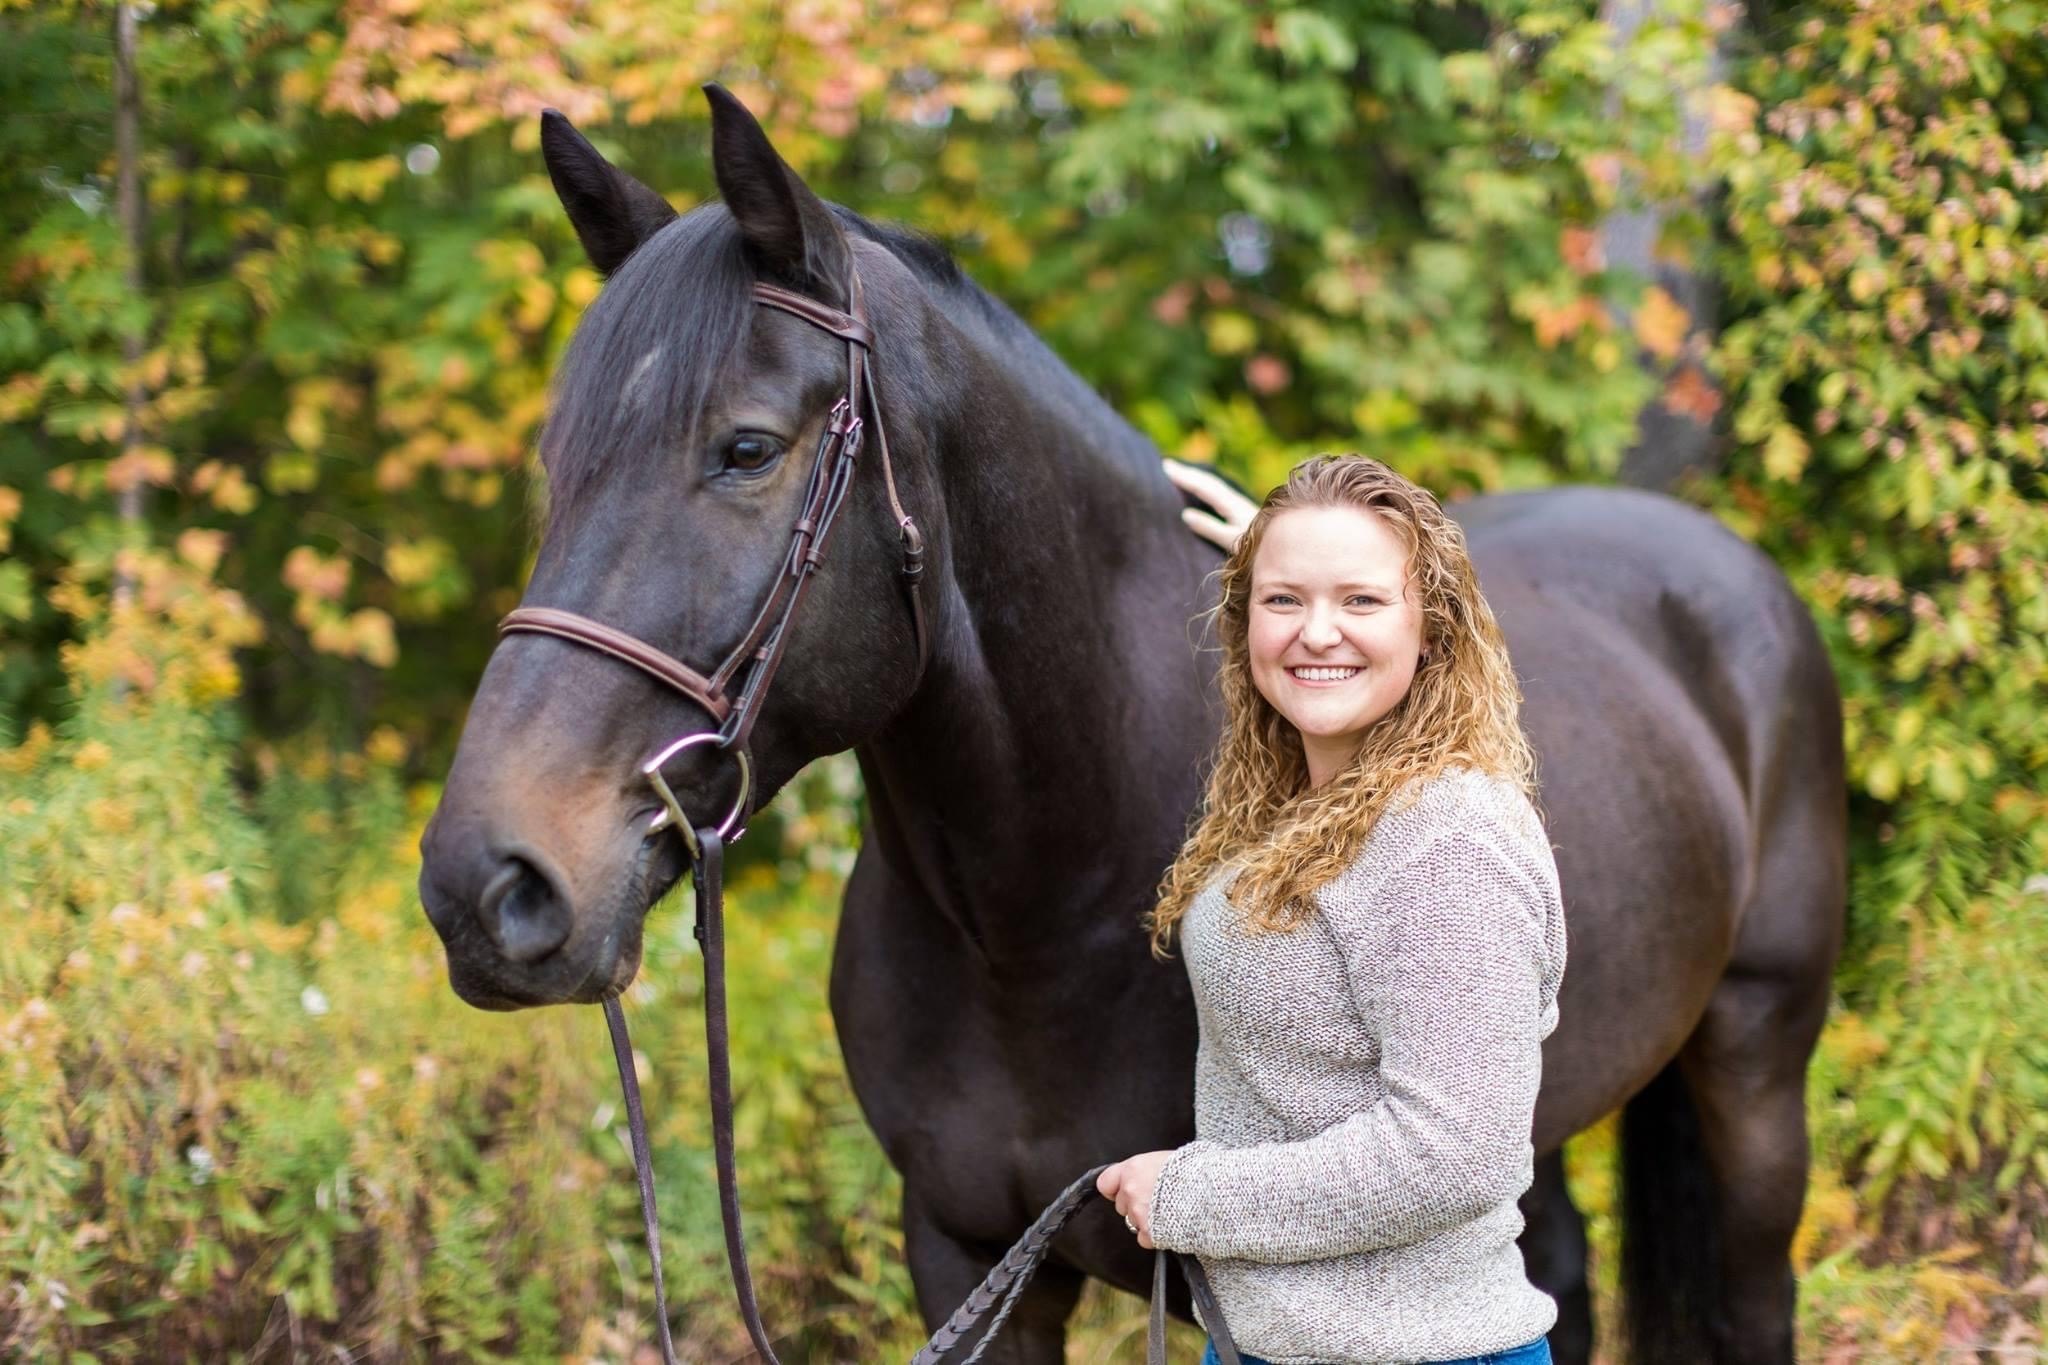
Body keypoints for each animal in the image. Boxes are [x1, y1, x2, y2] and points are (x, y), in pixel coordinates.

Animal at [411, 90, 1843, 1358]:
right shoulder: (968, 1259)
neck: (1047, 904)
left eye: (747, 450)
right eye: (558, 467)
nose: (485, 887)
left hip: (1753, 1069)